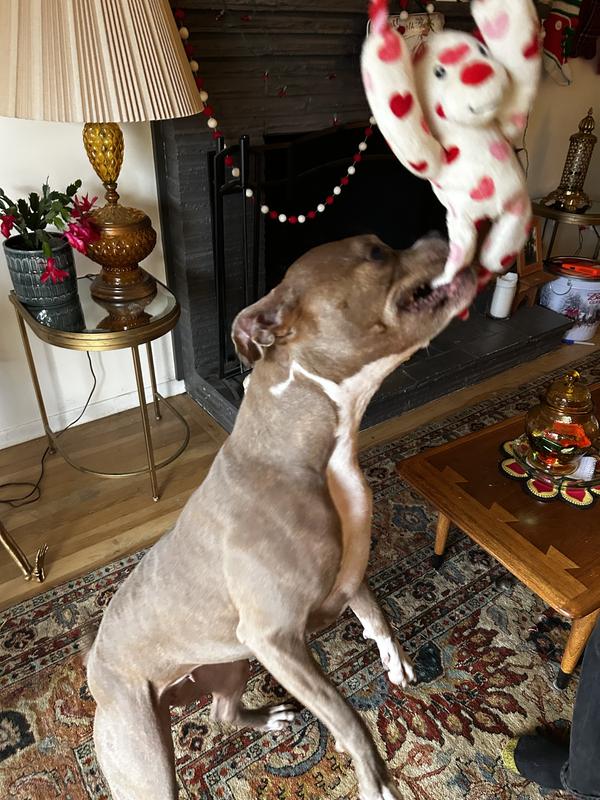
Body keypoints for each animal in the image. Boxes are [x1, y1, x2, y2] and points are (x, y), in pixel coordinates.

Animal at [86, 234, 476, 800]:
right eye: (375, 252)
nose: (439, 236)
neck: (315, 447)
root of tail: (92, 668)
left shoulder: (349, 572)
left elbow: (376, 614)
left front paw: (394, 659)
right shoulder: (277, 640)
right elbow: (345, 713)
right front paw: (375, 777)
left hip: (229, 665)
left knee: (223, 713)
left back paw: (267, 719)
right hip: (149, 757)